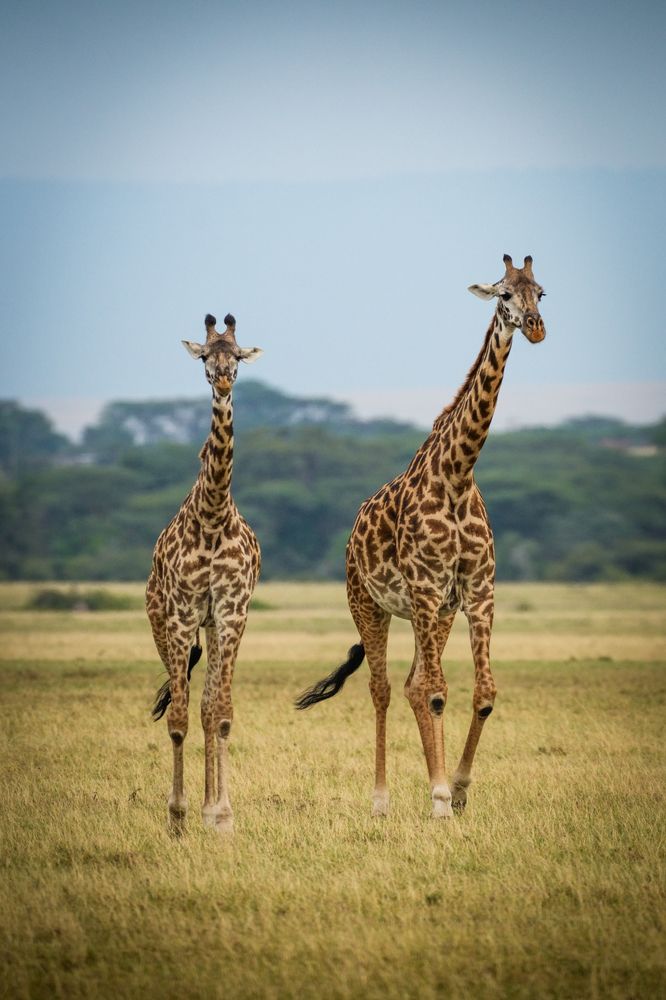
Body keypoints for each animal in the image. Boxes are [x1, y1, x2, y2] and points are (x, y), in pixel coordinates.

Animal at [296, 254, 546, 818]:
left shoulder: (476, 591)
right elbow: (435, 692)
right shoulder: (429, 588)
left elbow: (481, 692)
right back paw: (381, 800)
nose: (536, 327)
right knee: (385, 688)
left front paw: (457, 789)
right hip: (369, 603)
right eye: (503, 294)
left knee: (412, 685)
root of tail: (349, 537)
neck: (457, 475)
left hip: (431, 613)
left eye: (541, 291)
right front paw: (437, 797)